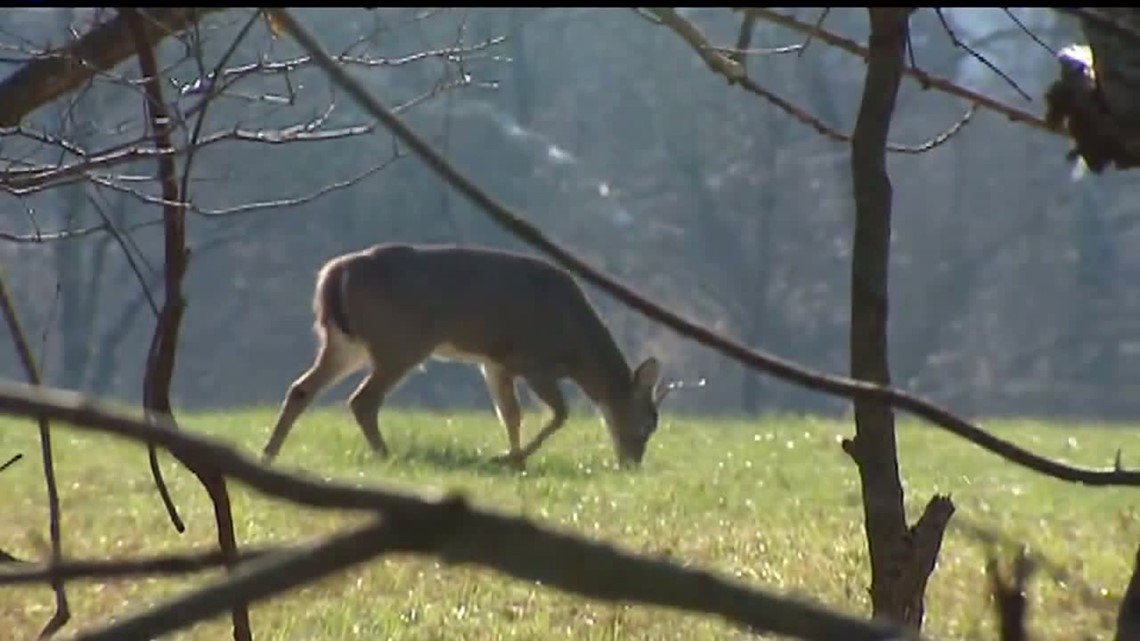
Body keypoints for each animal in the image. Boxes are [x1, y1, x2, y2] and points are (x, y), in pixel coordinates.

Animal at [261, 241, 670, 467]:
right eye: (648, 423)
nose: (631, 464)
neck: (576, 347)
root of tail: (334, 275)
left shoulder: (494, 363)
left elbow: (510, 415)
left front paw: (515, 462)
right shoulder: (532, 360)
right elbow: (559, 414)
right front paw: (509, 459)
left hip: (346, 343)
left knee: (302, 388)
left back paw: (269, 452)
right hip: (401, 342)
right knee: (362, 400)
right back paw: (387, 455)